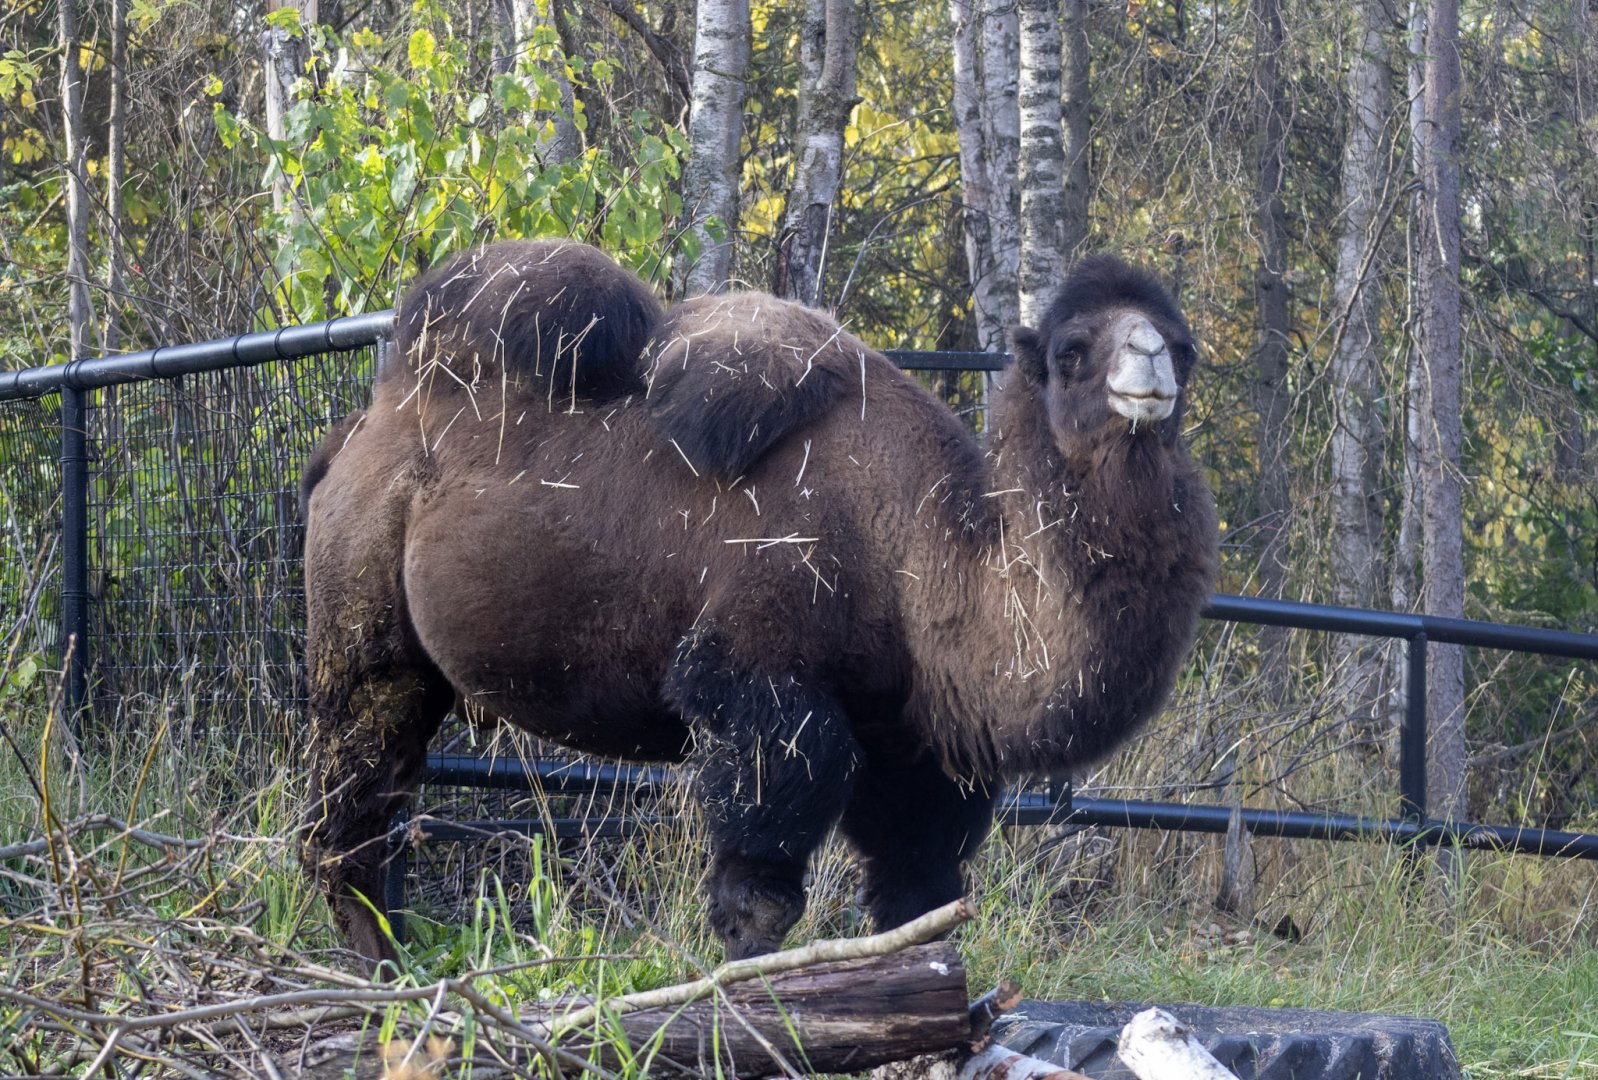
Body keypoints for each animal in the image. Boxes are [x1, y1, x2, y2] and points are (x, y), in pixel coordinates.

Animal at [300, 238, 1218, 969]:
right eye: (1071, 349)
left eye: (1183, 345)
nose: (1150, 367)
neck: (917, 550)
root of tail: (358, 434)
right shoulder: (761, 692)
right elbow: (760, 898)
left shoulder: (910, 737)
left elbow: (919, 896)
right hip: (364, 634)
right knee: (347, 817)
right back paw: (384, 977)